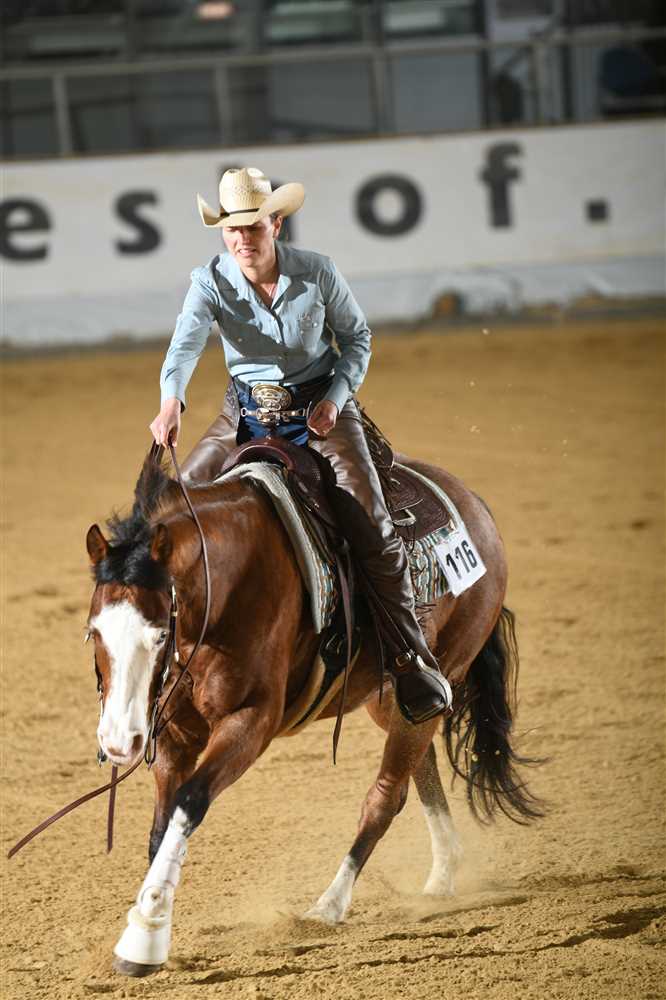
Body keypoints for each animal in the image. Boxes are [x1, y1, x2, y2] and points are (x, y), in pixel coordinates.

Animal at [85, 446, 541, 977]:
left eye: (159, 634)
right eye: (94, 630)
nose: (118, 741)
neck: (229, 589)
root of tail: (477, 508)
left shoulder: (250, 722)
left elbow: (190, 802)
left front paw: (143, 939)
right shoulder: (176, 733)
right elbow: (162, 828)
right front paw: (151, 925)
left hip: (436, 680)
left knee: (384, 798)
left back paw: (329, 905)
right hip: (391, 700)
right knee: (418, 772)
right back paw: (443, 874)